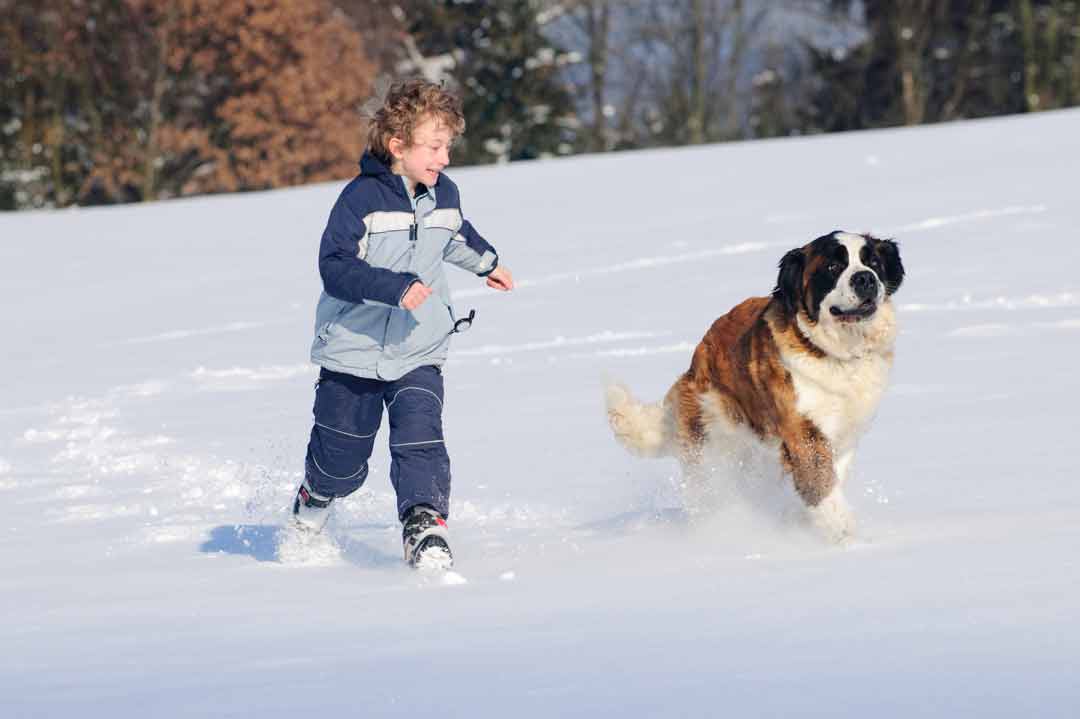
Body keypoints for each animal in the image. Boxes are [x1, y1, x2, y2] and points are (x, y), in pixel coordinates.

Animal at [609, 232, 902, 539]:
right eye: (833, 267)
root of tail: (693, 366)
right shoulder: (804, 433)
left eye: (873, 262)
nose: (865, 278)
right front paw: (844, 533)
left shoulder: (846, 434)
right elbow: (821, 484)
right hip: (711, 445)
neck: (836, 353)